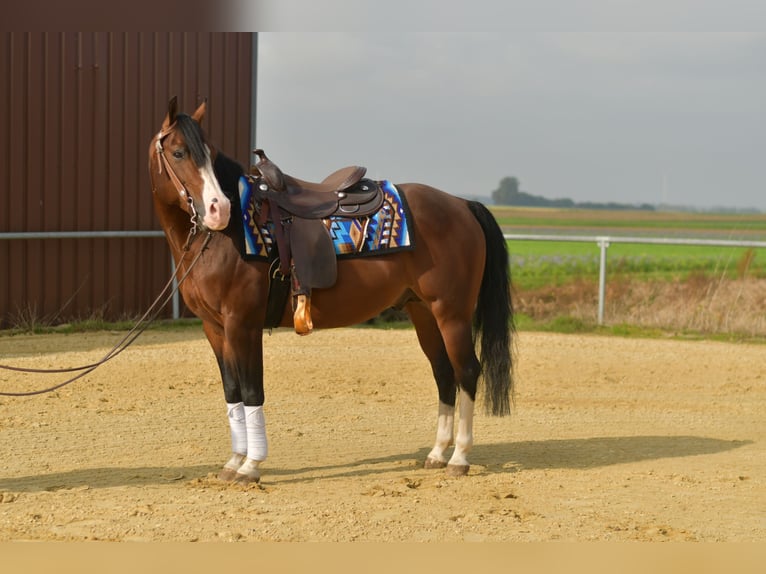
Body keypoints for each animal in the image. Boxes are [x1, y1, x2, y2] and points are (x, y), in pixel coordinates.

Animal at [149, 97, 515, 484]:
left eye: (210, 153)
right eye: (178, 152)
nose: (218, 209)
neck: (223, 238)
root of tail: (462, 205)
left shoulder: (242, 324)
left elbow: (251, 390)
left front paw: (250, 466)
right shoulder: (215, 328)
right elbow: (232, 391)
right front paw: (234, 462)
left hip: (452, 312)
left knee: (467, 371)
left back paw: (459, 457)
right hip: (424, 313)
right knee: (444, 373)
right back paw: (437, 453)